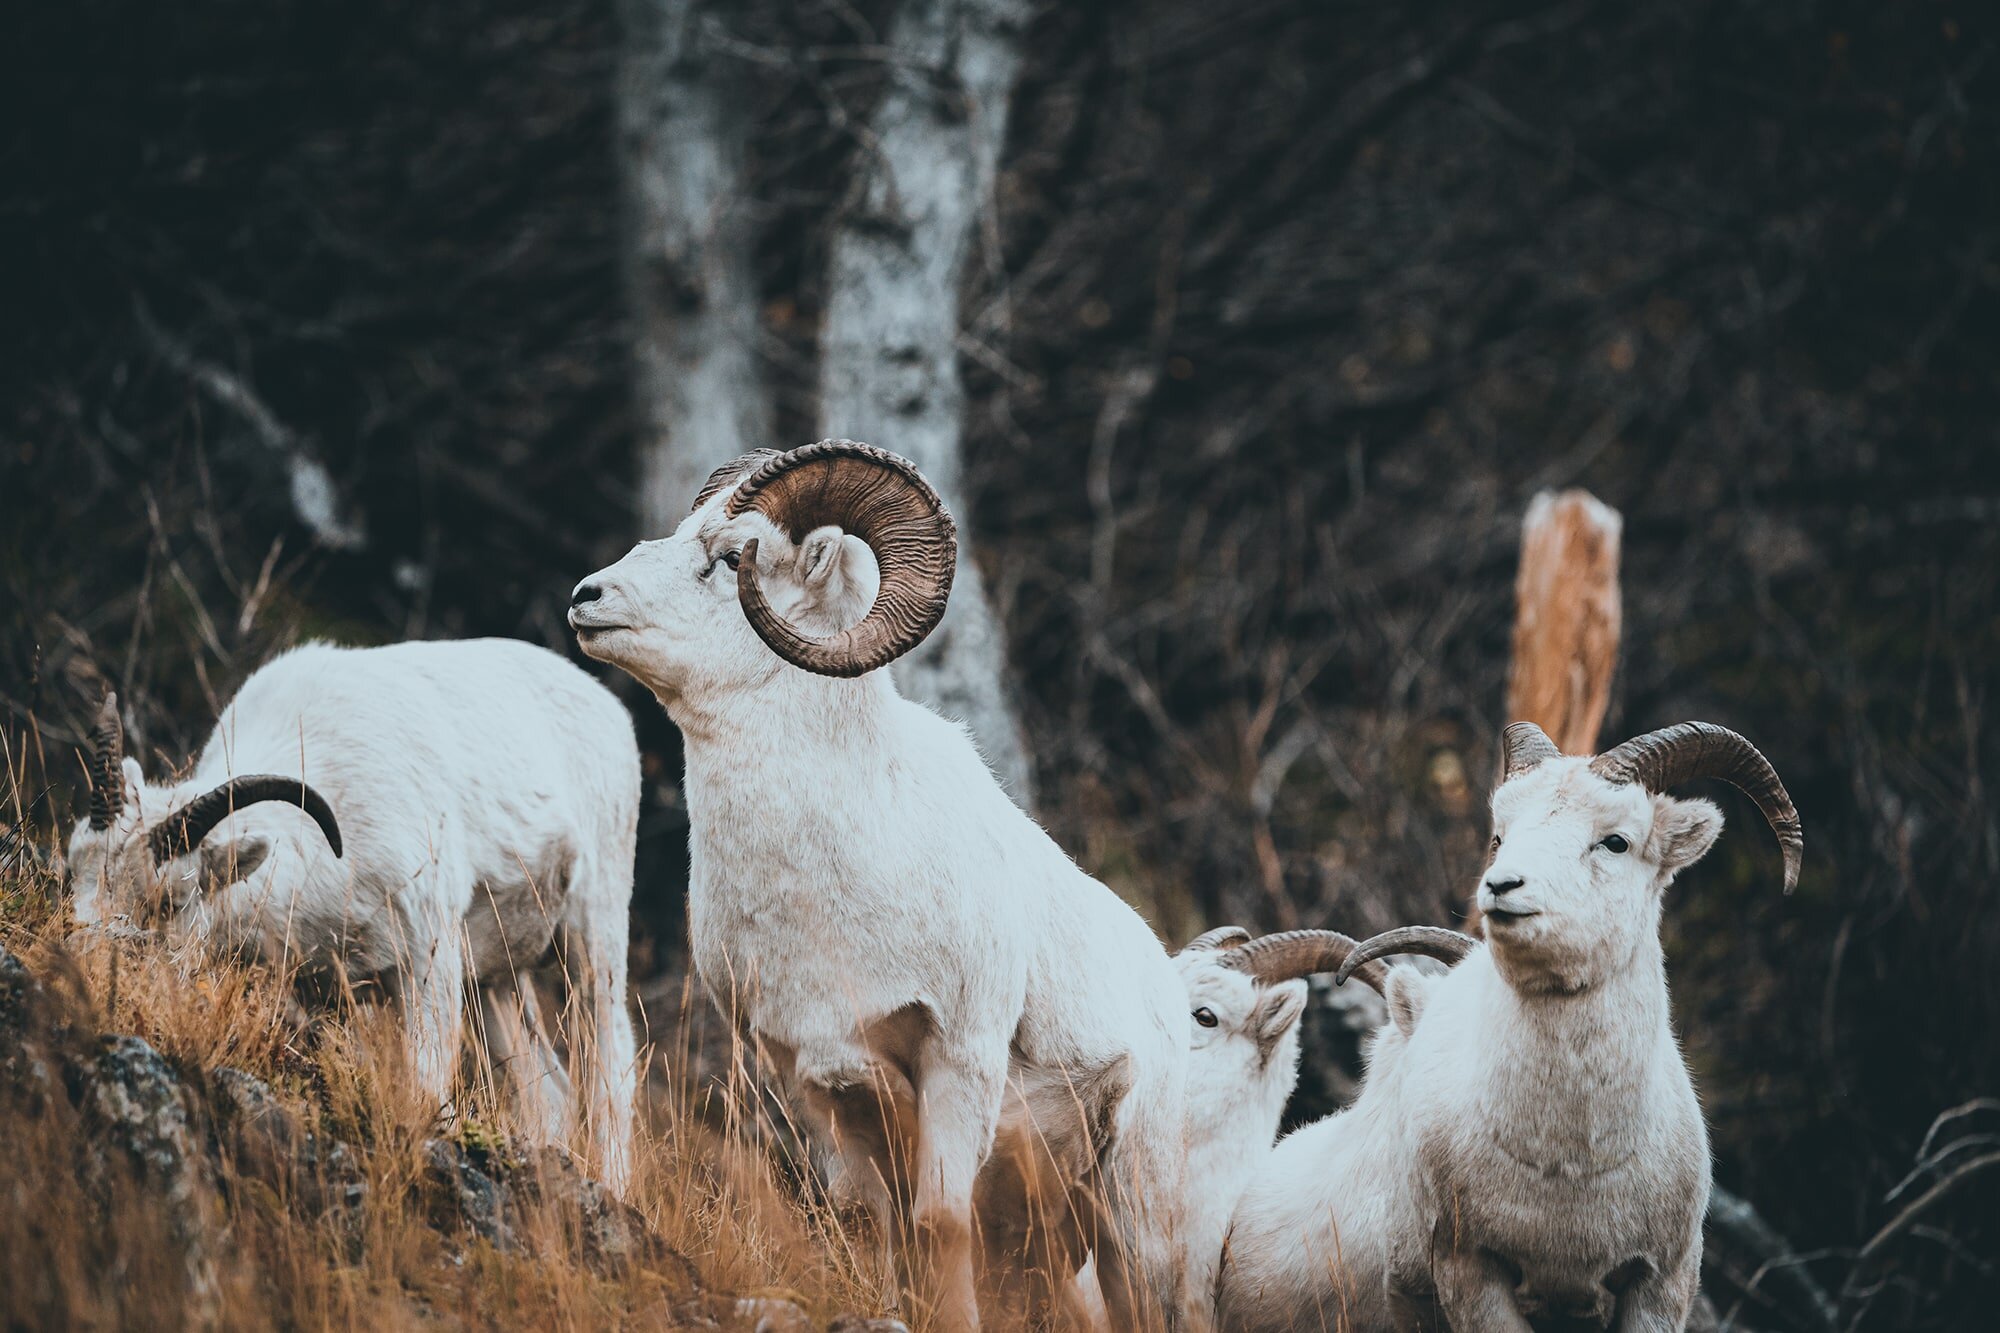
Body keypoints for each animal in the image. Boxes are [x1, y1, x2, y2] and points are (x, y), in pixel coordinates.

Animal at [63, 639, 641, 1191]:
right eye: (76, 867)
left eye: (171, 901)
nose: (84, 959)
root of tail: (609, 709)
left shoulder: (426, 962)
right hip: (496, 984)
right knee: (549, 1095)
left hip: (592, 941)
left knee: (610, 1073)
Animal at [568, 440, 1190, 1331]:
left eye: (732, 558)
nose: (587, 599)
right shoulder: (811, 1075)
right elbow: (873, 1227)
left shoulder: (956, 1058)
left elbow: (938, 1224)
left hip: (1133, 1224)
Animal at [1217, 720, 1802, 1332]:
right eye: (1500, 835)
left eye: (1615, 841)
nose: (1501, 886)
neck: (1571, 1168)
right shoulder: (1473, 1276)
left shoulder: (1661, 1285)